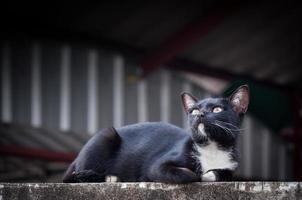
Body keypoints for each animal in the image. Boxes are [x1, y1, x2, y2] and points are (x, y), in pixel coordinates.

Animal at [62, 84, 249, 183]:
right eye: (195, 111)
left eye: (217, 109)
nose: (200, 115)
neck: (211, 147)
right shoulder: (157, 165)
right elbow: (185, 174)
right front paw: (198, 174)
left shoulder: (231, 166)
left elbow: (223, 173)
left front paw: (210, 173)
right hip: (106, 135)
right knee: (71, 177)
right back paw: (103, 176)